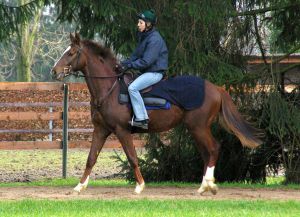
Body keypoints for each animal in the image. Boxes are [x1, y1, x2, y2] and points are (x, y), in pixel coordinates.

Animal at [52, 33, 262, 196]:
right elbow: (91, 158)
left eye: (71, 53)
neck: (109, 89)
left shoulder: (122, 131)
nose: (54, 71)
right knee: (206, 152)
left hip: (199, 127)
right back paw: (203, 186)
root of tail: (216, 88)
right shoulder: (101, 130)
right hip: (196, 129)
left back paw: (208, 185)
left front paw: (140, 186)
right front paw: (79, 186)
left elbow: (132, 157)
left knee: (213, 149)